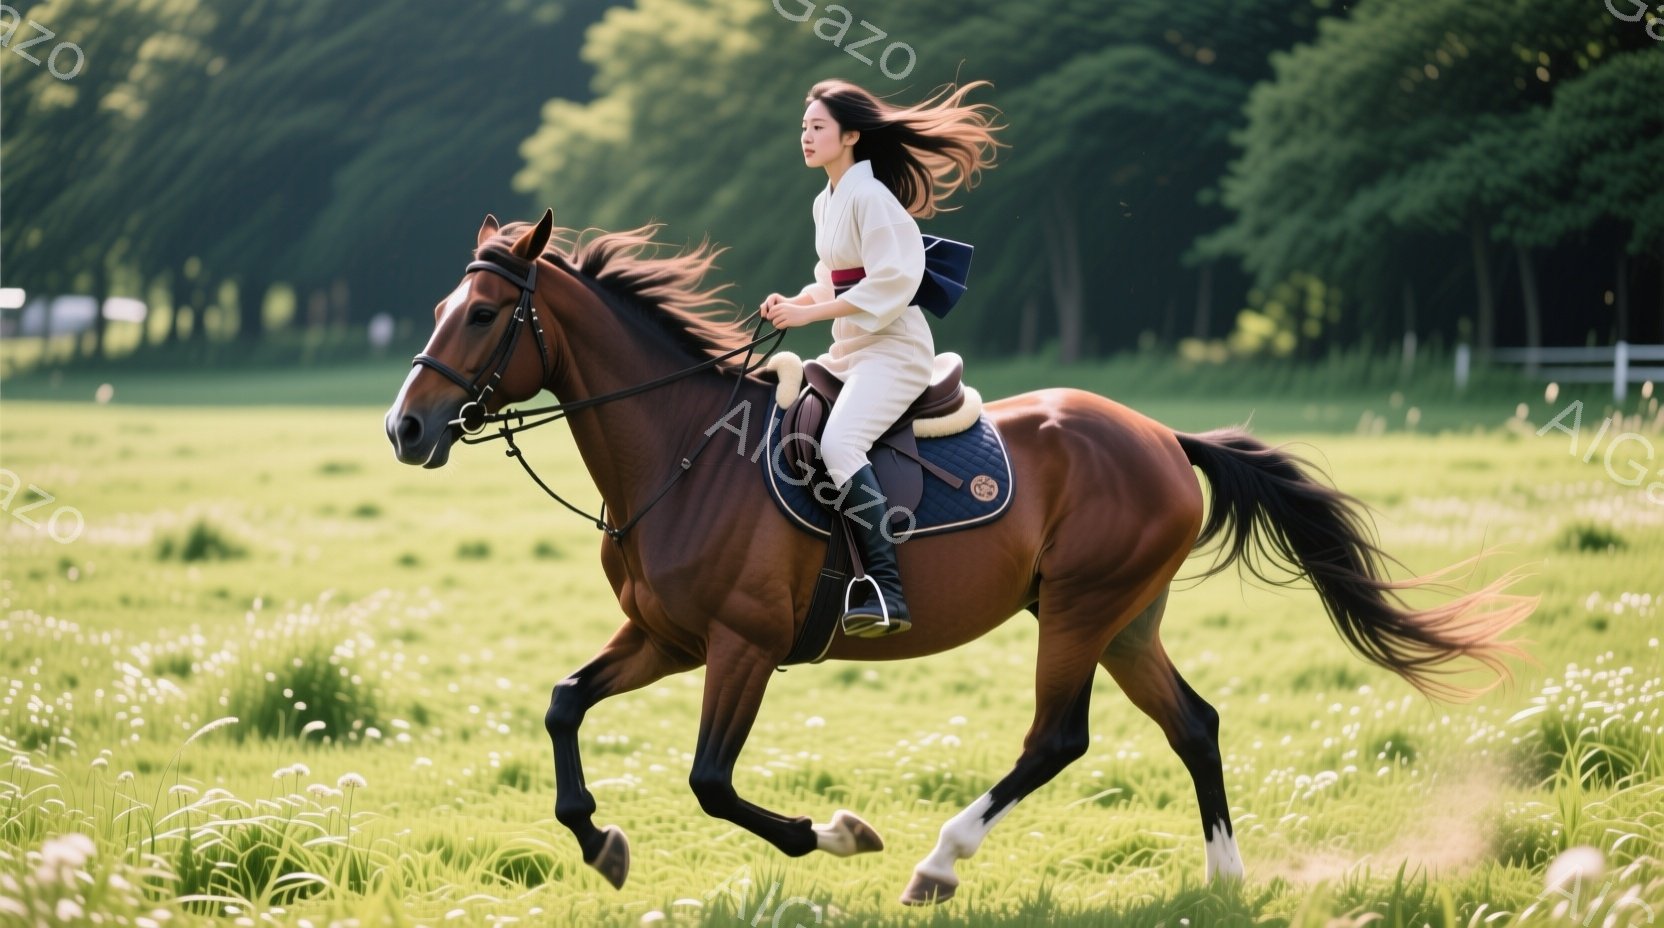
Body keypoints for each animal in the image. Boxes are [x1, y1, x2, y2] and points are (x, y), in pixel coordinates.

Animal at [384, 210, 1534, 905]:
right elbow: (563, 706)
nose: (404, 429)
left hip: (1077, 612)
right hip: (1125, 621)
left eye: (482, 313)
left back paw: (940, 861)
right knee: (1194, 725)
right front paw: (599, 840)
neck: (681, 452)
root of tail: (1163, 437)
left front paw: (838, 834)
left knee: (1057, 738)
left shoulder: (742, 645)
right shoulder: (665, 637)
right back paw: (1221, 877)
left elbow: (711, 781)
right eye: (437, 308)